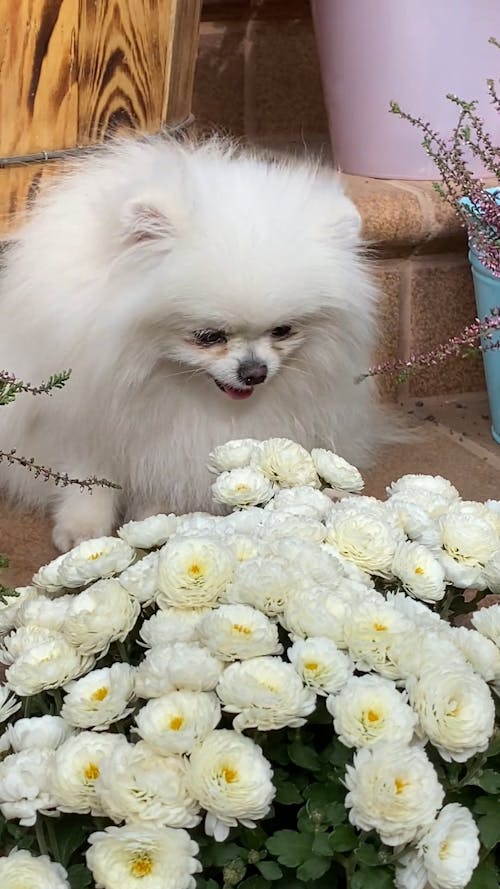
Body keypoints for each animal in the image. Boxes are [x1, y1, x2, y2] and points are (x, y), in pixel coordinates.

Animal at [0, 134, 394, 548]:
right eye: (207, 336)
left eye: (282, 330)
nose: (254, 372)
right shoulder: (85, 420)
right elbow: (88, 477)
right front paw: (83, 530)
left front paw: (154, 518)